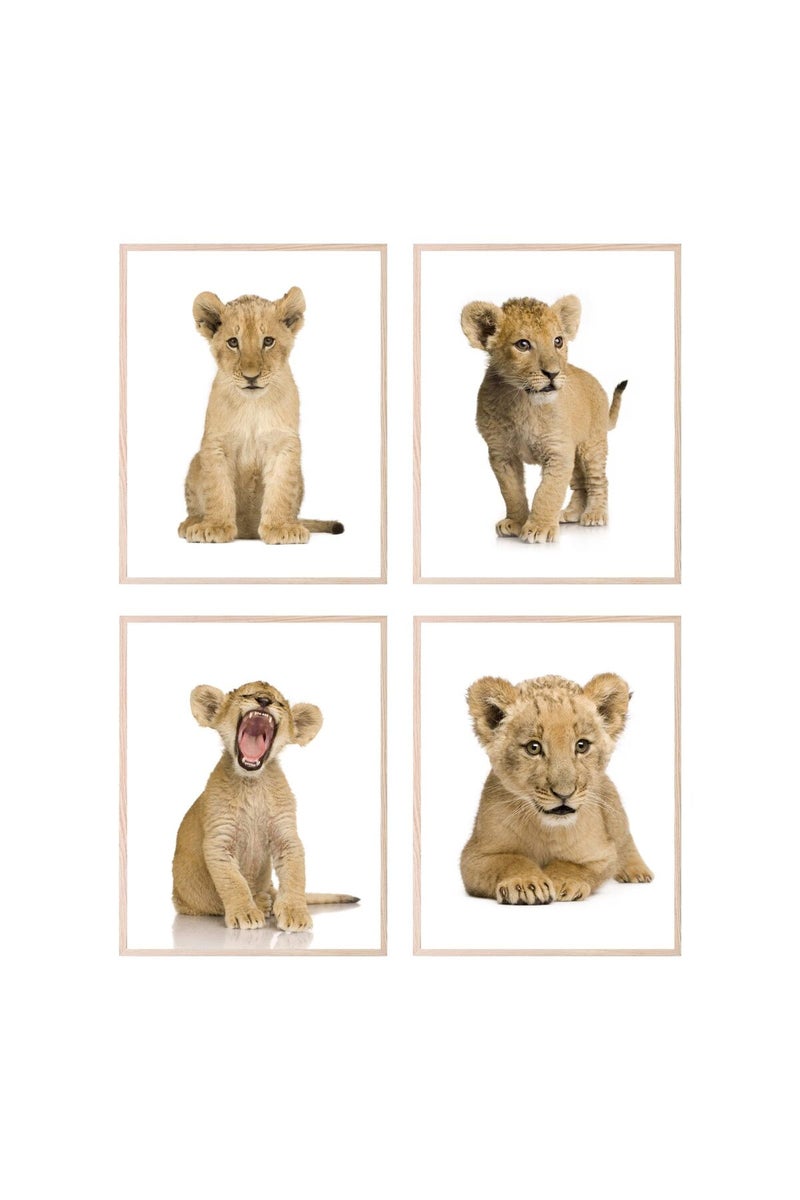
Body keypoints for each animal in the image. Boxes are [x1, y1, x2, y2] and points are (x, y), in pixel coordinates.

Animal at [172, 680, 358, 931]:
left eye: (279, 702)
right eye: (246, 695)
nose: (263, 700)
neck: (252, 783)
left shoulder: (286, 835)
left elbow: (295, 876)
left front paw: (295, 913)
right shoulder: (219, 839)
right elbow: (233, 882)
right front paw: (245, 913)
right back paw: (261, 903)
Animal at [178, 289, 343, 545]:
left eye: (268, 341)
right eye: (233, 342)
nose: (251, 376)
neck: (252, 405)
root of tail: (247, 532)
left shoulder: (284, 445)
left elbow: (281, 489)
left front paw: (280, 528)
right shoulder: (215, 444)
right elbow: (217, 488)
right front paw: (215, 527)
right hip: (196, 460)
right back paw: (192, 523)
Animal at [460, 294, 626, 543]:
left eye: (558, 341)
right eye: (523, 344)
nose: (553, 373)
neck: (523, 401)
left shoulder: (558, 451)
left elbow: (548, 491)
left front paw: (539, 528)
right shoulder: (501, 453)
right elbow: (512, 491)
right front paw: (516, 523)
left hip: (592, 444)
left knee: (598, 480)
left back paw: (595, 514)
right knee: (579, 483)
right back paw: (570, 513)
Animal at [461, 673, 652, 903]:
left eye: (582, 745)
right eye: (533, 748)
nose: (564, 793)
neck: (546, 829)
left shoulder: (601, 854)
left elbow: (574, 865)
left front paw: (562, 881)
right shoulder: (474, 856)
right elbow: (510, 860)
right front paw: (526, 884)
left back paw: (637, 871)